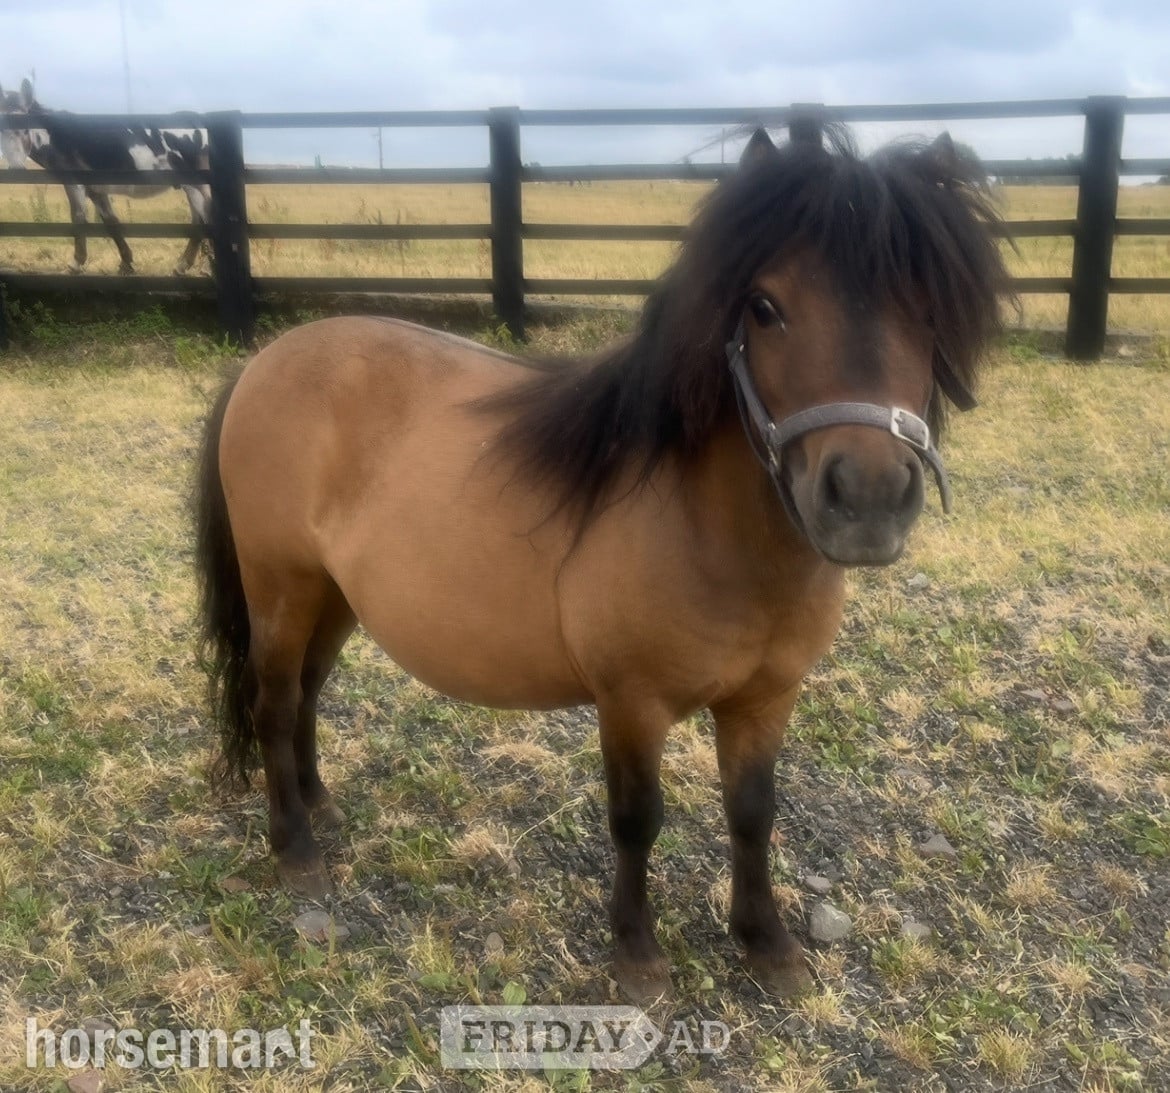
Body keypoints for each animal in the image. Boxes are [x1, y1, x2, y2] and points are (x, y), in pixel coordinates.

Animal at [0, 78, 211, 275]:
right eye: (0, 130)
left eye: (25, 129)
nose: (17, 169)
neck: (57, 138)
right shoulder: (95, 189)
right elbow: (111, 222)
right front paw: (126, 263)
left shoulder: (74, 184)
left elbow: (78, 219)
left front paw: (75, 264)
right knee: (199, 222)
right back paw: (183, 266)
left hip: (196, 185)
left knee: (205, 219)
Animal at [194, 125, 1008, 1003]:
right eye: (764, 305)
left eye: (932, 305)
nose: (867, 498)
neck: (709, 532)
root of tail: (264, 361)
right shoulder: (631, 702)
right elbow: (637, 818)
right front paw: (638, 952)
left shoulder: (765, 699)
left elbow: (753, 810)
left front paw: (766, 941)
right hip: (281, 586)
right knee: (274, 701)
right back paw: (295, 849)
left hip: (335, 594)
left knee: (308, 692)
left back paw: (321, 807)